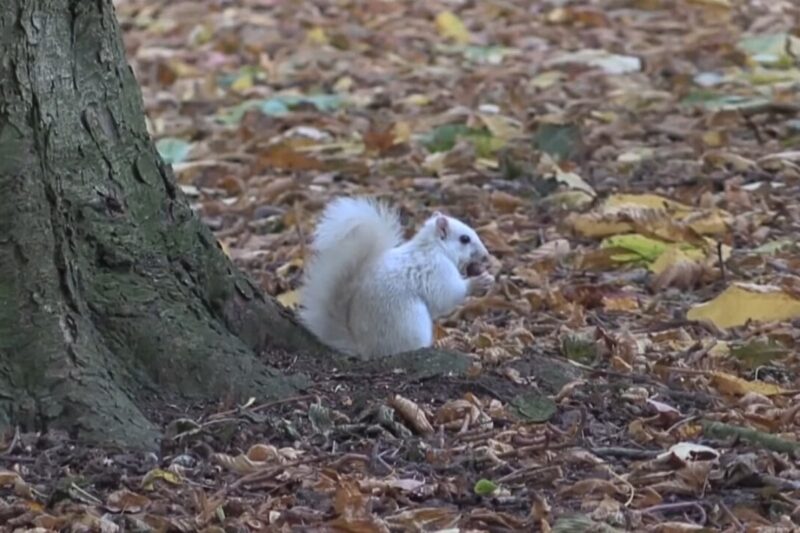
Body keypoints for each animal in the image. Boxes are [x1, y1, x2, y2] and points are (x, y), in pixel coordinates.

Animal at [300, 197, 494, 360]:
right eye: (464, 239)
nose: (486, 255)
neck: (434, 247)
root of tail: (366, 349)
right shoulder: (437, 271)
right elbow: (447, 295)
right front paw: (477, 283)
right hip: (411, 322)